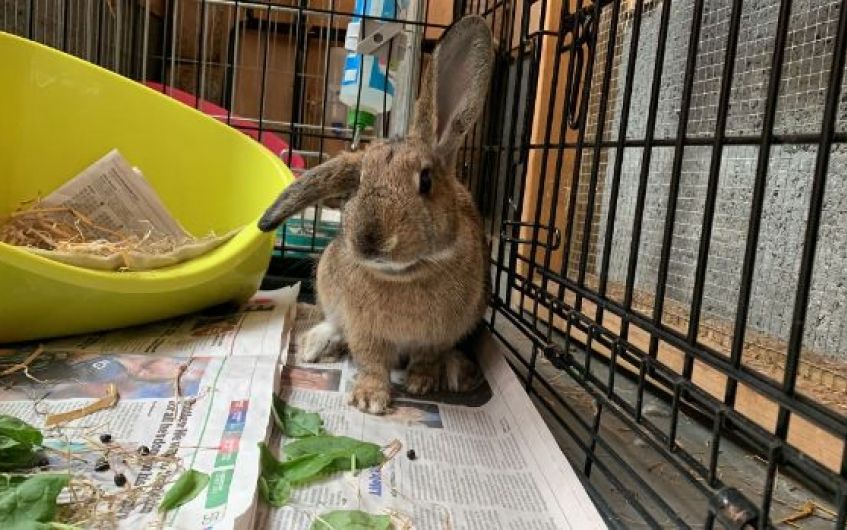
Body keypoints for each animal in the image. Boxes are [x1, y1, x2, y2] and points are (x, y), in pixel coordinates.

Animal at [257, 15, 494, 414]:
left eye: (426, 180)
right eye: (360, 182)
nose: (369, 241)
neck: (405, 275)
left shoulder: (437, 337)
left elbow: (427, 357)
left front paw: (422, 383)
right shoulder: (365, 332)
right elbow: (370, 361)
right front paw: (369, 399)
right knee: (333, 324)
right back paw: (315, 345)